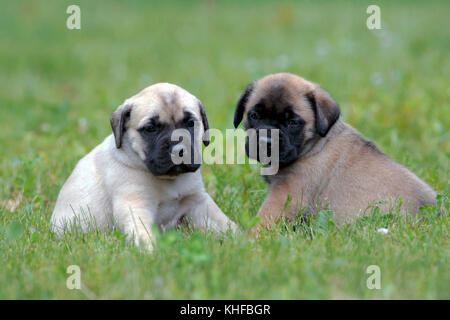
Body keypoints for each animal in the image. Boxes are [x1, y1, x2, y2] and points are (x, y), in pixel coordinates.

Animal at [51, 83, 237, 252]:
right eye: (151, 128)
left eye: (190, 123)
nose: (178, 150)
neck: (169, 181)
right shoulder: (135, 204)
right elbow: (142, 232)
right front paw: (151, 252)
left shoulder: (198, 201)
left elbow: (222, 222)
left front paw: (240, 240)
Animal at [234, 73, 438, 228]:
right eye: (254, 115)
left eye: (292, 122)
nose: (266, 140)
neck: (314, 145)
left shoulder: (285, 195)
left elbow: (263, 220)